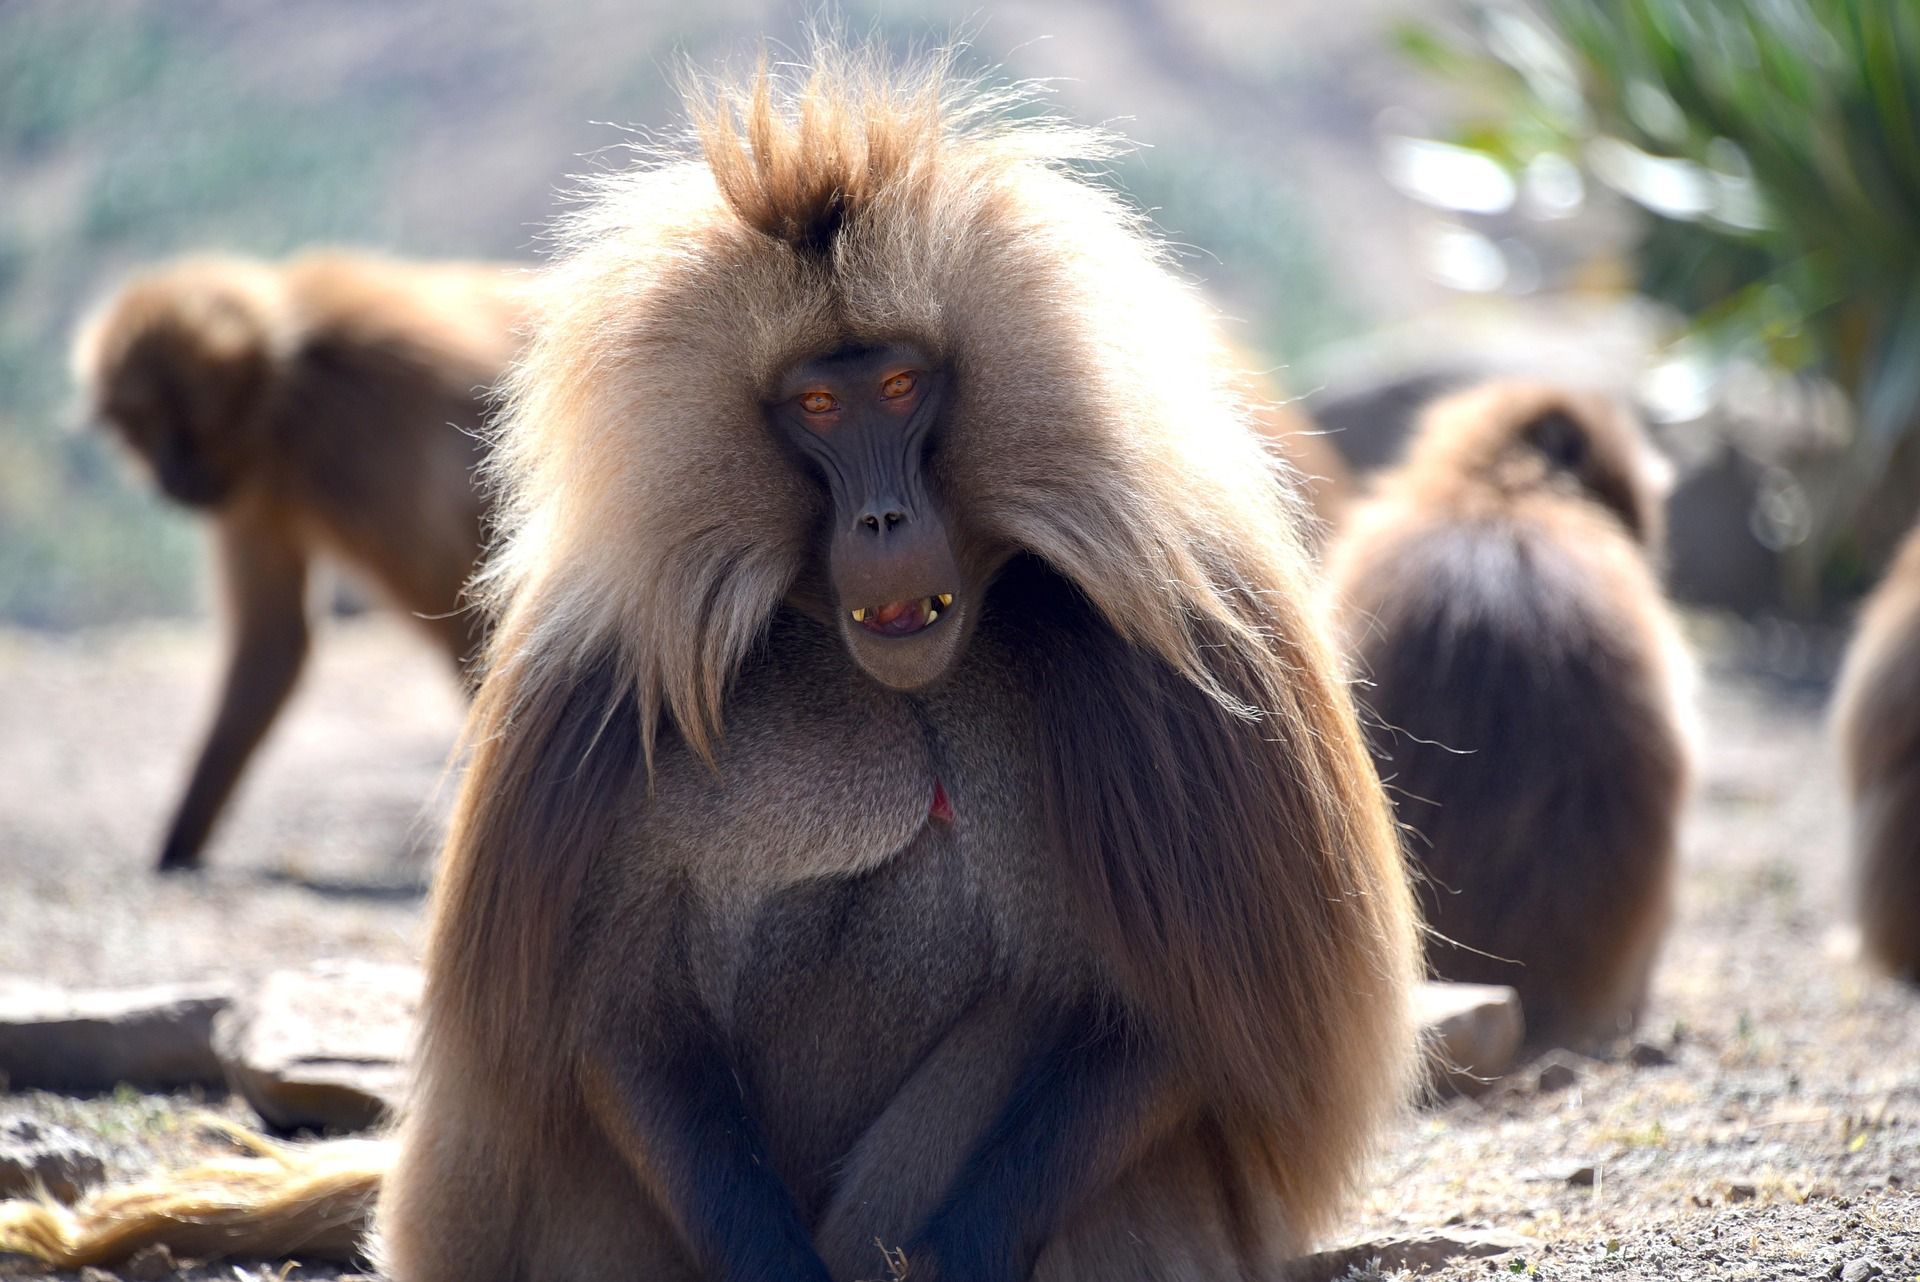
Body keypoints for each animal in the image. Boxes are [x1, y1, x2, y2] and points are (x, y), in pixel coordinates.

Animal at [73, 250, 532, 872]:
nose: (169, 479)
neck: (286, 387)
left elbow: (461, 608)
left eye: (182, 423)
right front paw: (177, 845)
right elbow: (275, 641)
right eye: (141, 426)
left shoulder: (356, 440)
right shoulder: (253, 486)